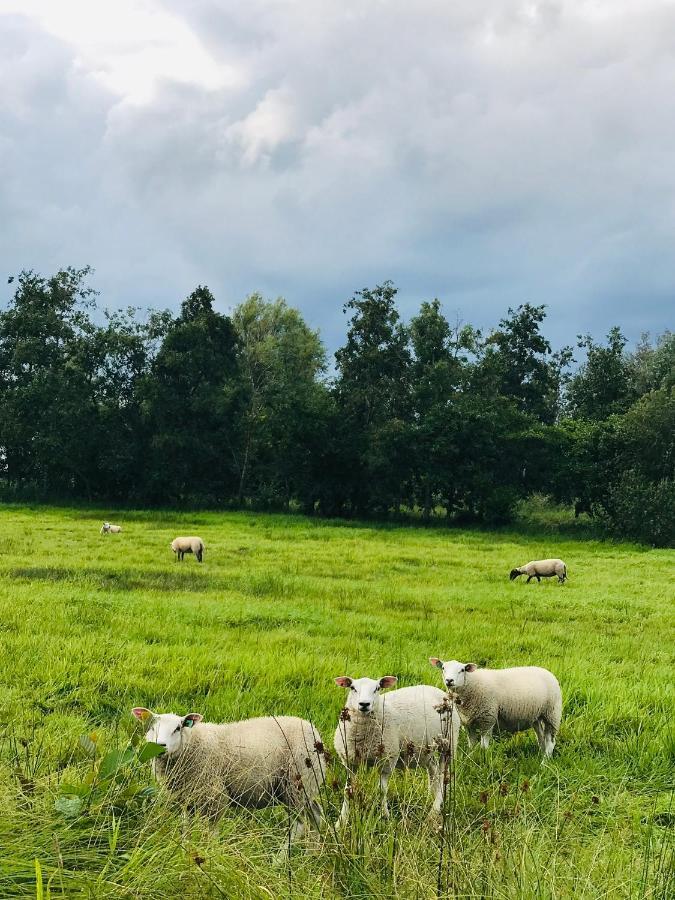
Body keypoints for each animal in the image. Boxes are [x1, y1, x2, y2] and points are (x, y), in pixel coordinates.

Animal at [131, 708, 328, 856]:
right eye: (152, 727)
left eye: (178, 728)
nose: (160, 746)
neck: (194, 742)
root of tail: (312, 729)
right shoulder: (186, 799)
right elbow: (185, 827)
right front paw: (184, 850)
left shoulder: (215, 796)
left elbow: (212, 832)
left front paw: (211, 855)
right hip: (306, 785)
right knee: (316, 814)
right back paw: (312, 854)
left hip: (295, 784)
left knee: (298, 824)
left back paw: (279, 860)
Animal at [332, 672, 460, 828]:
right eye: (352, 687)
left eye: (377, 688)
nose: (364, 704)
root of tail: (439, 691)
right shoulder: (349, 762)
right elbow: (347, 791)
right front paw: (341, 821)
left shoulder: (388, 760)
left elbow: (382, 791)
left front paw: (385, 817)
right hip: (426, 749)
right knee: (434, 770)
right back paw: (432, 795)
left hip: (449, 744)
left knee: (442, 776)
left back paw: (434, 810)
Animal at [430, 656, 564, 756]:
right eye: (443, 668)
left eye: (462, 670)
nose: (449, 680)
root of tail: (548, 672)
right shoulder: (468, 723)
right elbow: (471, 744)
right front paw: (471, 756)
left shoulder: (487, 719)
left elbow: (484, 745)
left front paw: (483, 758)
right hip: (537, 716)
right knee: (541, 737)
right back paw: (541, 754)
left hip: (552, 713)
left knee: (550, 741)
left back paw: (544, 761)